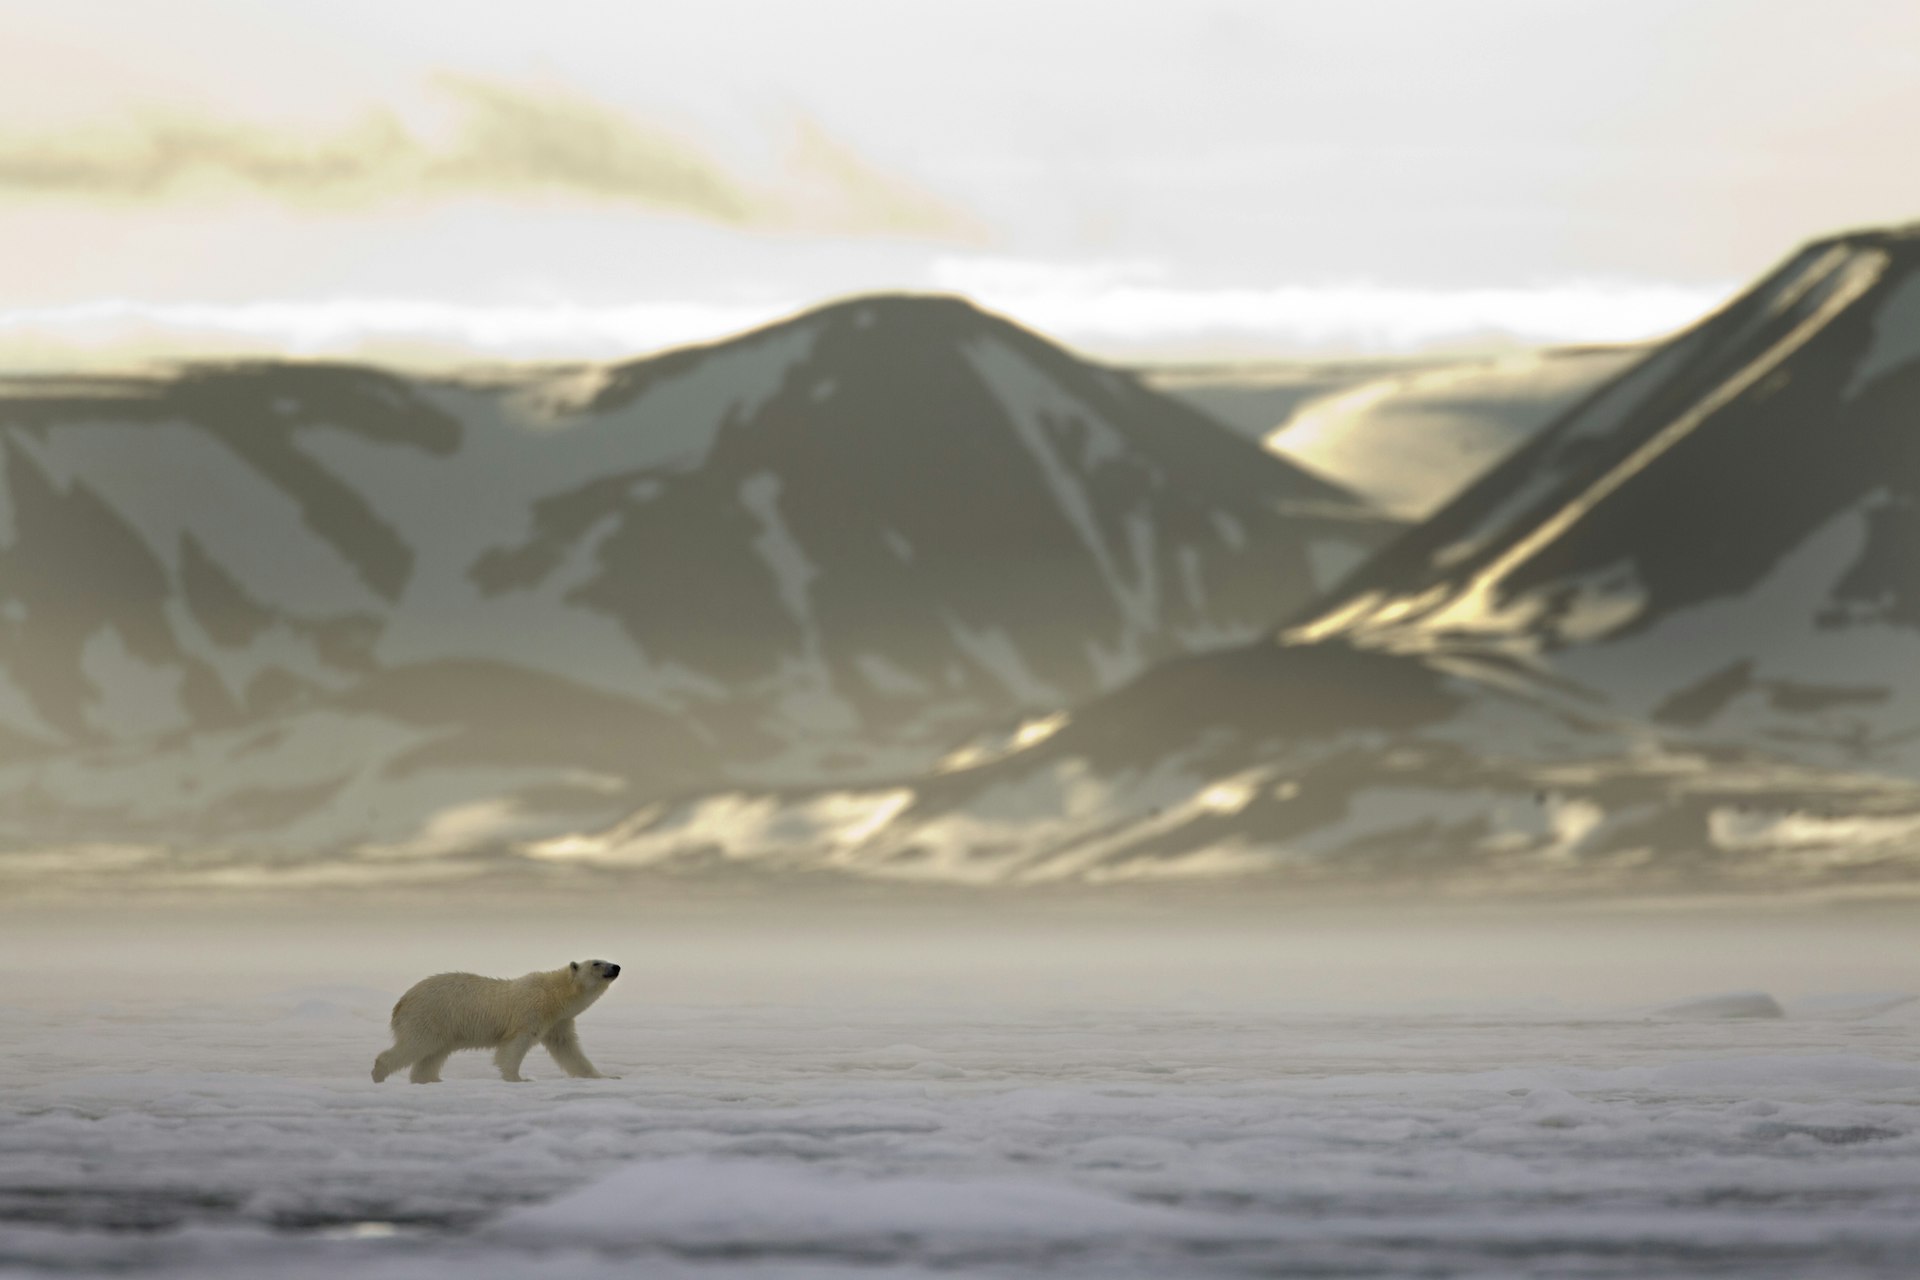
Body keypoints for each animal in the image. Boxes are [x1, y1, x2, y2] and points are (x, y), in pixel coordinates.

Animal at [370, 955, 618, 1090]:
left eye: (606, 960)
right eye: (597, 963)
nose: (616, 967)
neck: (554, 997)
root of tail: (401, 1001)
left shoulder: (559, 1022)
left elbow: (568, 1050)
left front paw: (606, 1076)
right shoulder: (530, 1013)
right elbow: (514, 1046)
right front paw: (519, 1078)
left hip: (443, 1025)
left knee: (434, 1053)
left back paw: (432, 1079)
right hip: (431, 1015)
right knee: (417, 1045)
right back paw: (378, 1074)